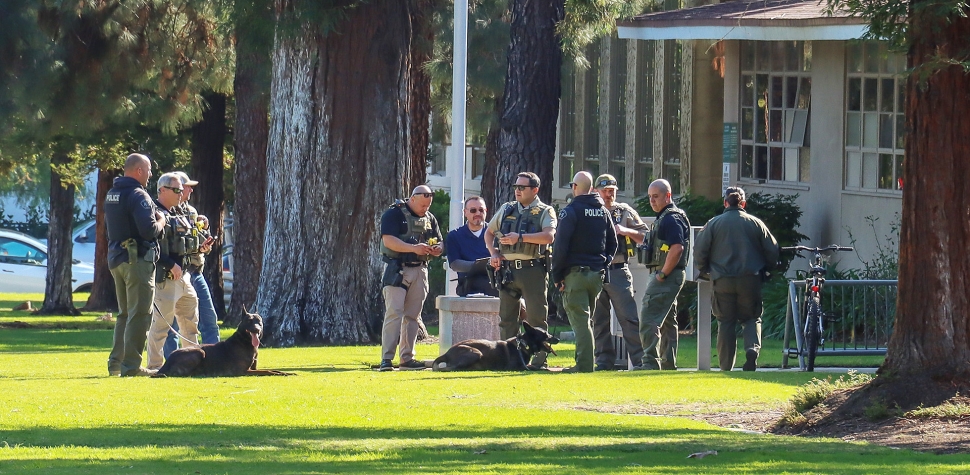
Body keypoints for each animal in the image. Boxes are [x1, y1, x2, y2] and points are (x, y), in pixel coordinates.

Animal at [151, 312, 294, 380]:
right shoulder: (243, 371)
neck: (245, 341)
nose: (256, 329)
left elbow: (273, 370)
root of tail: (167, 361)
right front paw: (281, 374)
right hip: (199, 352)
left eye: (259, 322)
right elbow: (267, 371)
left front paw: (287, 372)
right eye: (249, 321)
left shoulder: (253, 368)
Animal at [432, 324, 560, 372]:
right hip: (476, 352)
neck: (524, 344)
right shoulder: (514, 367)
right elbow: (533, 367)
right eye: (546, 334)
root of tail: (446, 354)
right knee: (449, 368)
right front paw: (542, 368)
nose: (558, 339)